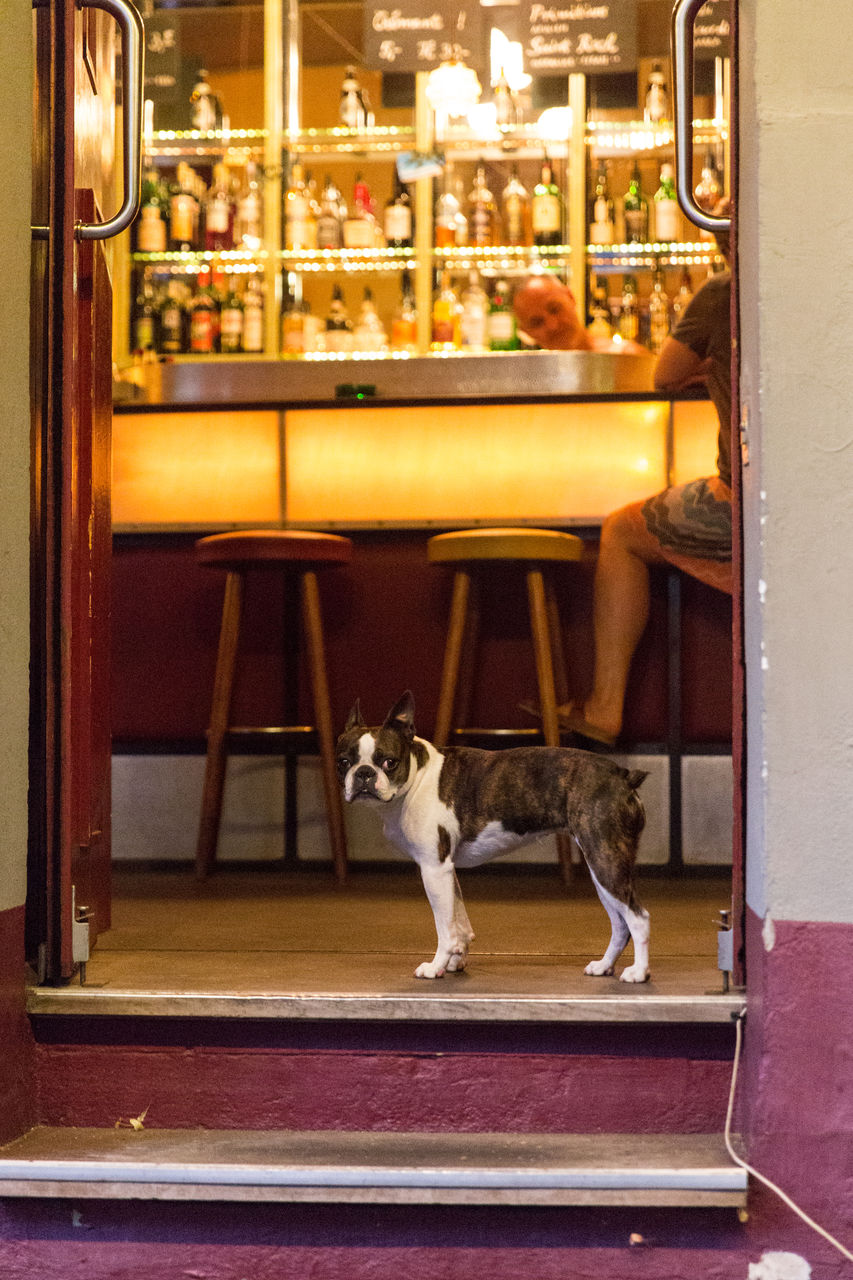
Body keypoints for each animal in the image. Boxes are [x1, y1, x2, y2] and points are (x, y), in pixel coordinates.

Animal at [335, 691, 648, 977]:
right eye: (343, 762)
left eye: (389, 762)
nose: (364, 773)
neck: (416, 779)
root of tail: (621, 774)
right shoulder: (447, 871)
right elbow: (459, 922)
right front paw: (455, 962)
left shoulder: (434, 869)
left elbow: (445, 928)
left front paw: (436, 967)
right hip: (603, 870)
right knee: (620, 924)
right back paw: (604, 966)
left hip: (606, 862)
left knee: (638, 919)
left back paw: (638, 973)